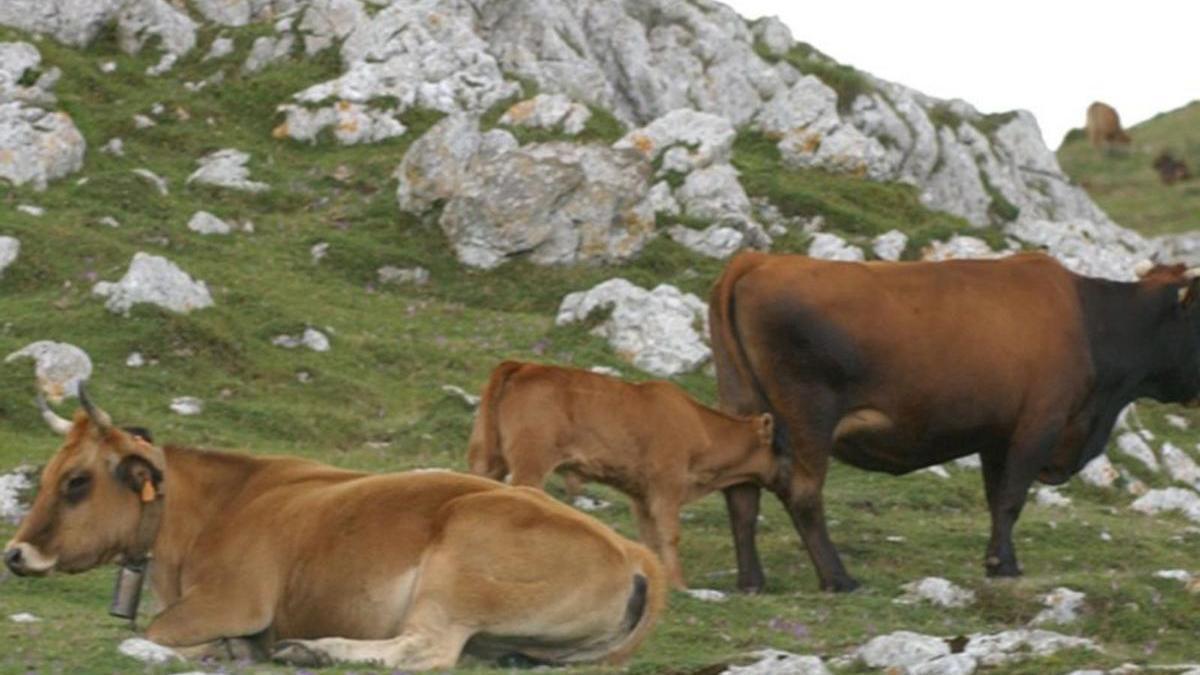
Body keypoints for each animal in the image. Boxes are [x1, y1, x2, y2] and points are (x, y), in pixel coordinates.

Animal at [463, 360, 772, 586]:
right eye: (780, 447)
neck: (697, 425)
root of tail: (524, 366)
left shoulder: (642, 496)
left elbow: (650, 537)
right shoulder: (667, 487)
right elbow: (669, 534)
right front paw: (679, 584)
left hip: (489, 461)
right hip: (530, 465)